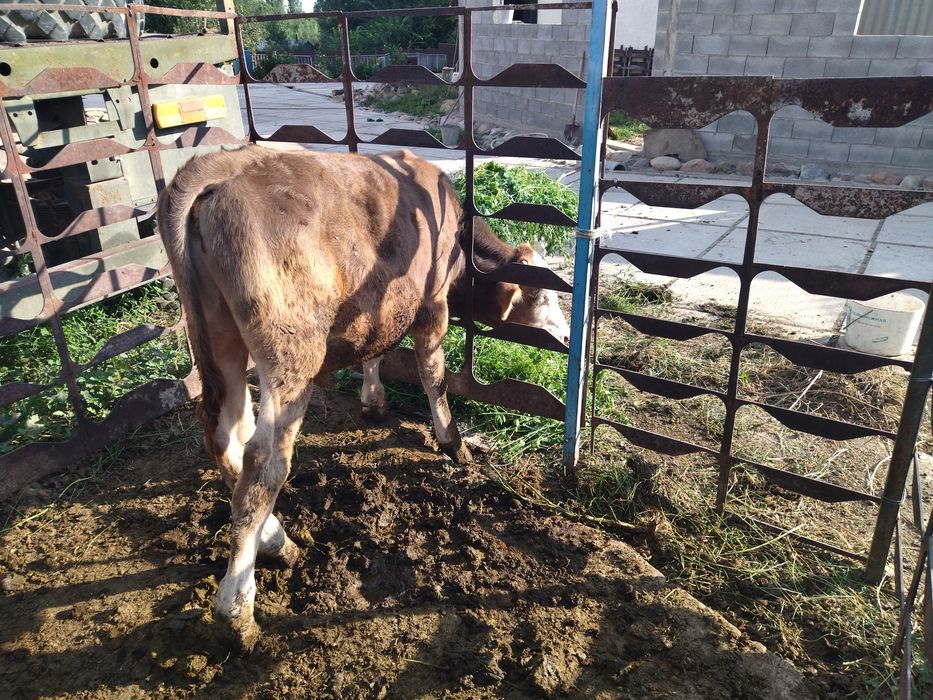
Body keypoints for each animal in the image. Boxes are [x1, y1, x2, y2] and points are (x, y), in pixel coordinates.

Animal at [158, 145, 569, 650]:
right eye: (546, 296)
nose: (567, 336)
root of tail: (220, 168)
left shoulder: (382, 300)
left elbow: (377, 348)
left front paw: (374, 400)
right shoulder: (432, 304)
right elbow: (433, 376)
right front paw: (453, 442)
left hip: (221, 339)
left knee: (228, 437)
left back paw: (277, 542)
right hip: (291, 352)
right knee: (263, 463)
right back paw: (237, 609)